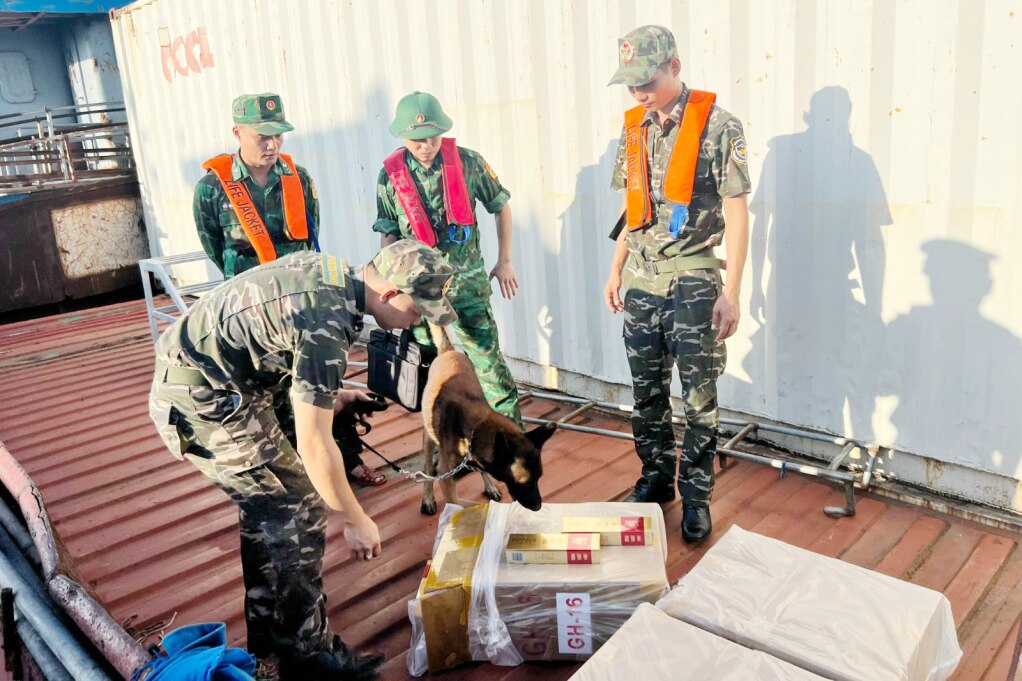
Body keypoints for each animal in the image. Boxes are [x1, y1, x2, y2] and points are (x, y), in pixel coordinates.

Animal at [416, 321, 560, 511]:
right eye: (524, 483)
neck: (476, 427)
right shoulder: (446, 478)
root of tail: (448, 351)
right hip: (428, 438)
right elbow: (453, 502)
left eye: (539, 478)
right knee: (426, 467)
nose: (538, 506)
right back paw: (428, 497)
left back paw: (490, 486)